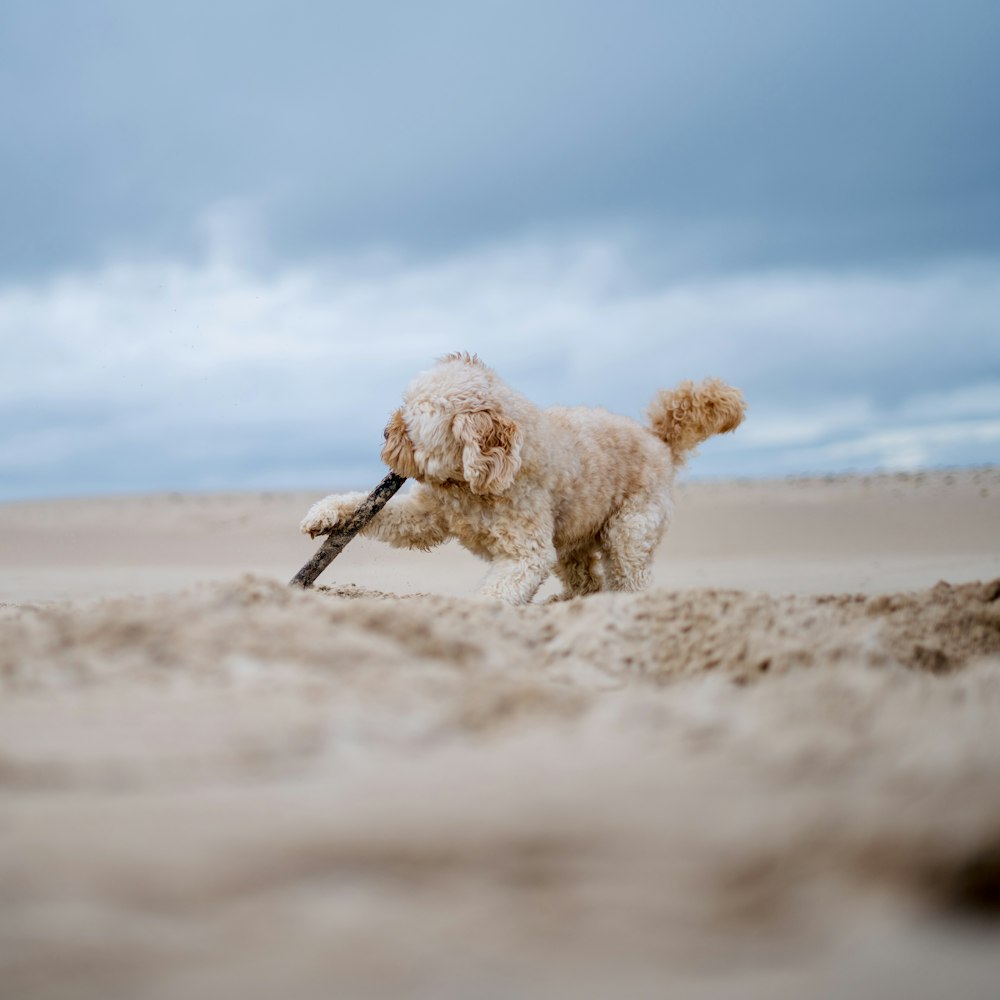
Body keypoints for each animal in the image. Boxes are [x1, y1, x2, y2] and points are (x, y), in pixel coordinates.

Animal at [300, 354, 748, 600]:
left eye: (412, 424)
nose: (384, 433)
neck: (472, 485)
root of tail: (658, 440)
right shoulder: (427, 517)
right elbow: (369, 509)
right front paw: (324, 514)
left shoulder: (525, 554)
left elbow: (497, 594)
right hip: (572, 546)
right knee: (587, 583)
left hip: (629, 533)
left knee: (628, 579)